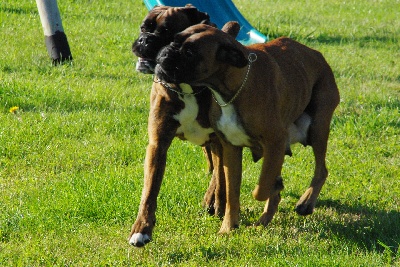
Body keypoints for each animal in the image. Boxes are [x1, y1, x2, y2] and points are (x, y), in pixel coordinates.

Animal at [130, 5, 239, 248]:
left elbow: (222, 178)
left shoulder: (221, 140)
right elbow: (149, 190)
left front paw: (219, 206)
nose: (144, 40)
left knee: (217, 172)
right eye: (143, 27)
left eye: (167, 31)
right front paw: (141, 230)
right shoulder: (157, 145)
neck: (186, 87)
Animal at [156, 23, 340, 234]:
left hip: (316, 129)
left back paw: (306, 202)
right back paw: (265, 219)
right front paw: (228, 227)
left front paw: (272, 187)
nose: (165, 52)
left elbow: (261, 189)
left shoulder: (275, 142)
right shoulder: (231, 150)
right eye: (174, 40)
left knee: (321, 170)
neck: (231, 90)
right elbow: (232, 193)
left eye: (189, 52)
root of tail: (318, 55)